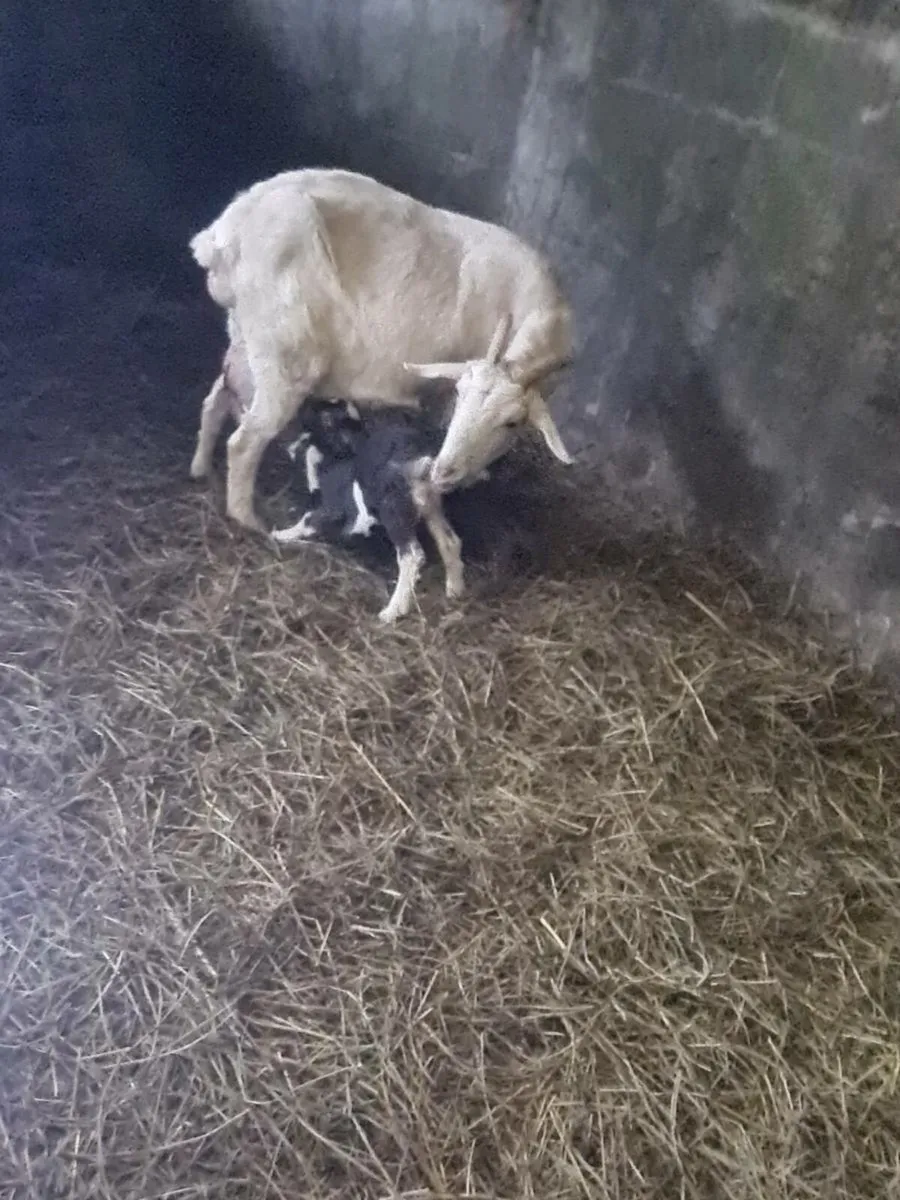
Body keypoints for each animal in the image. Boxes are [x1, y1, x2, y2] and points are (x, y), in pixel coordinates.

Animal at [189, 168, 575, 531]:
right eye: (462, 396)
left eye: (511, 421)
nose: (445, 471)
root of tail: (224, 235)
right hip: (287, 351)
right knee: (245, 441)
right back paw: (248, 520)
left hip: (247, 336)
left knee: (217, 397)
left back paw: (201, 468)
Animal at [271, 400, 465, 624]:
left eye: (326, 420)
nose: (290, 446)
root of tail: (420, 463)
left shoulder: (332, 506)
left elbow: (308, 519)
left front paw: (278, 534)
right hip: (430, 506)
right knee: (449, 540)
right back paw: (455, 589)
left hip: (394, 510)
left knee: (412, 555)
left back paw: (393, 610)